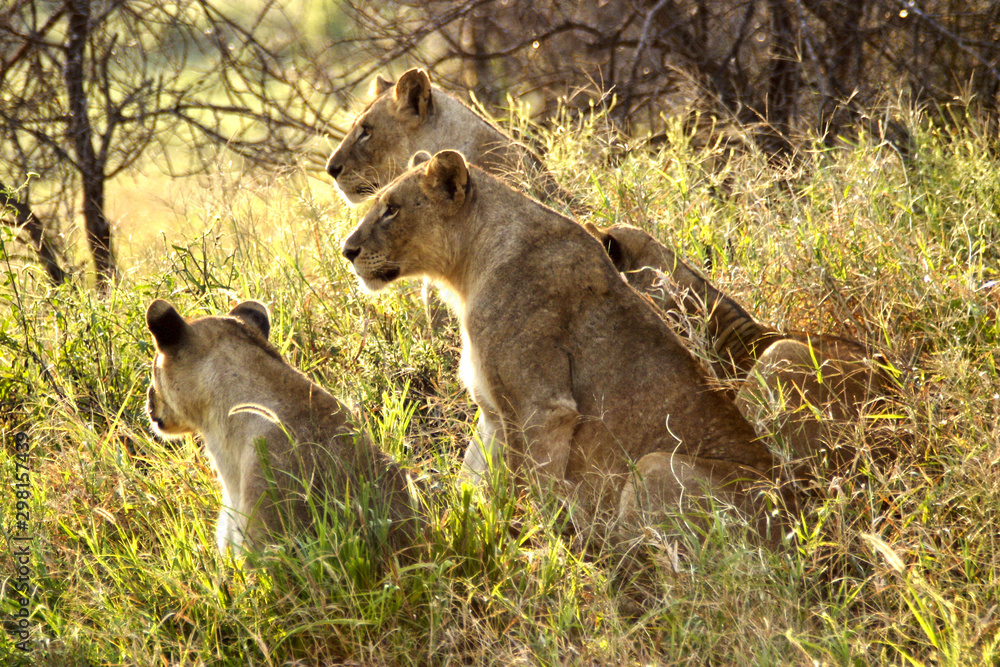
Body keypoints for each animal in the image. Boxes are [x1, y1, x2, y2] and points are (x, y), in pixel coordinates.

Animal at [341, 150, 795, 542]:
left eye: (392, 209)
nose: (346, 250)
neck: (468, 269)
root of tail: (792, 515)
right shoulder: (493, 412)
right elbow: (472, 477)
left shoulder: (544, 409)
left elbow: (532, 491)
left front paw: (531, 548)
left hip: (653, 465)